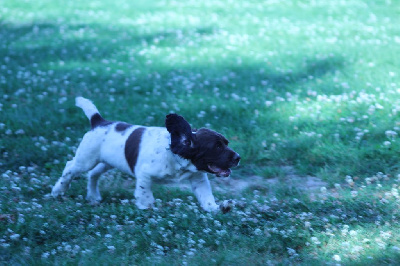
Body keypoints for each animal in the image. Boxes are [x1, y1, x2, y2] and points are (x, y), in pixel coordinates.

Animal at [52, 96, 241, 213]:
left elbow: (206, 198)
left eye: (226, 143)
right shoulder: (144, 174)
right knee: (70, 167)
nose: (238, 158)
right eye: (217, 147)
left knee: (93, 174)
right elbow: (145, 194)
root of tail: (99, 121)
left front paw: (219, 208)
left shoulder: (199, 179)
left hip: (107, 162)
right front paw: (147, 207)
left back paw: (93, 196)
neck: (177, 159)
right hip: (86, 159)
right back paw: (58, 191)